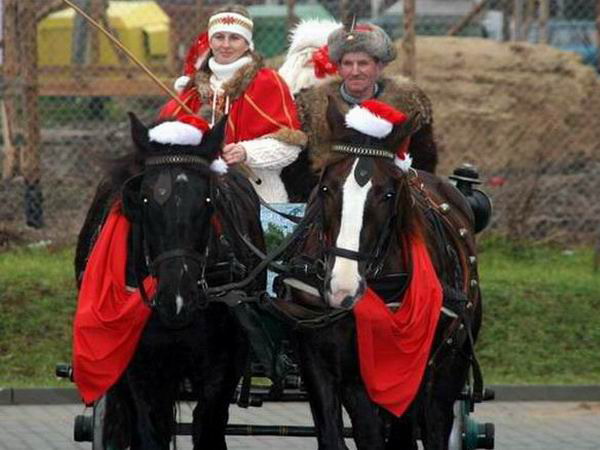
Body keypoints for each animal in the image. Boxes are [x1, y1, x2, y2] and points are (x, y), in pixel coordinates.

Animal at [73, 114, 264, 448]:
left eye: (209, 200)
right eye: (145, 200)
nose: (177, 299)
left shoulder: (225, 368)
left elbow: (209, 426)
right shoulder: (140, 370)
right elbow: (149, 431)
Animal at [278, 102, 486, 450]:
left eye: (388, 195)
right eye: (325, 188)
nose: (343, 287)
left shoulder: (410, 373)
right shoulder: (319, 363)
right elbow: (336, 437)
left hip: (449, 368)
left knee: (434, 426)